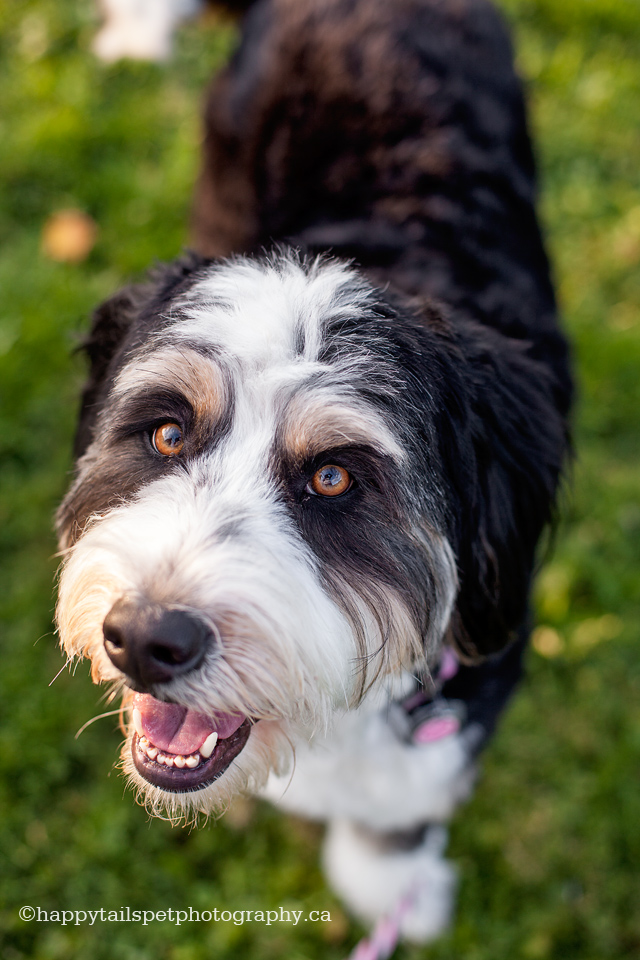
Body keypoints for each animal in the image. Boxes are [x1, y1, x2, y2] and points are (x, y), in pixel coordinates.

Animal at [57, 0, 572, 944]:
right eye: (166, 434)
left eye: (334, 480)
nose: (145, 640)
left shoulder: (469, 683)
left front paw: (395, 886)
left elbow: (393, 813)